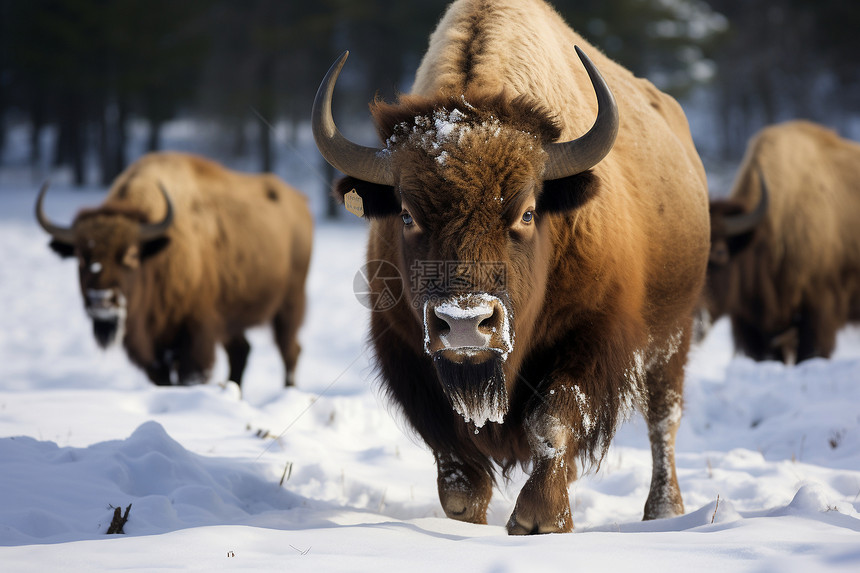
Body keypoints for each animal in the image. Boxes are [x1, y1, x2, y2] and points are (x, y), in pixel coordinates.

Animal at [37, 150, 314, 386]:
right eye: (81, 257)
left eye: (132, 254)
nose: (101, 300)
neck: (155, 251)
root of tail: (299, 200)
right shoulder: (153, 352)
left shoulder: (196, 339)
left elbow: (189, 376)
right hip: (232, 320)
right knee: (242, 352)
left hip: (289, 305)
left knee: (290, 351)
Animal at [312, 0, 708, 536]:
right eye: (408, 215)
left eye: (526, 212)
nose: (465, 324)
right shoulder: (407, 353)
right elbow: (453, 455)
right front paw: (467, 521)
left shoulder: (591, 336)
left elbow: (553, 421)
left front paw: (538, 521)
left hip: (672, 337)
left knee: (663, 420)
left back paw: (663, 511)